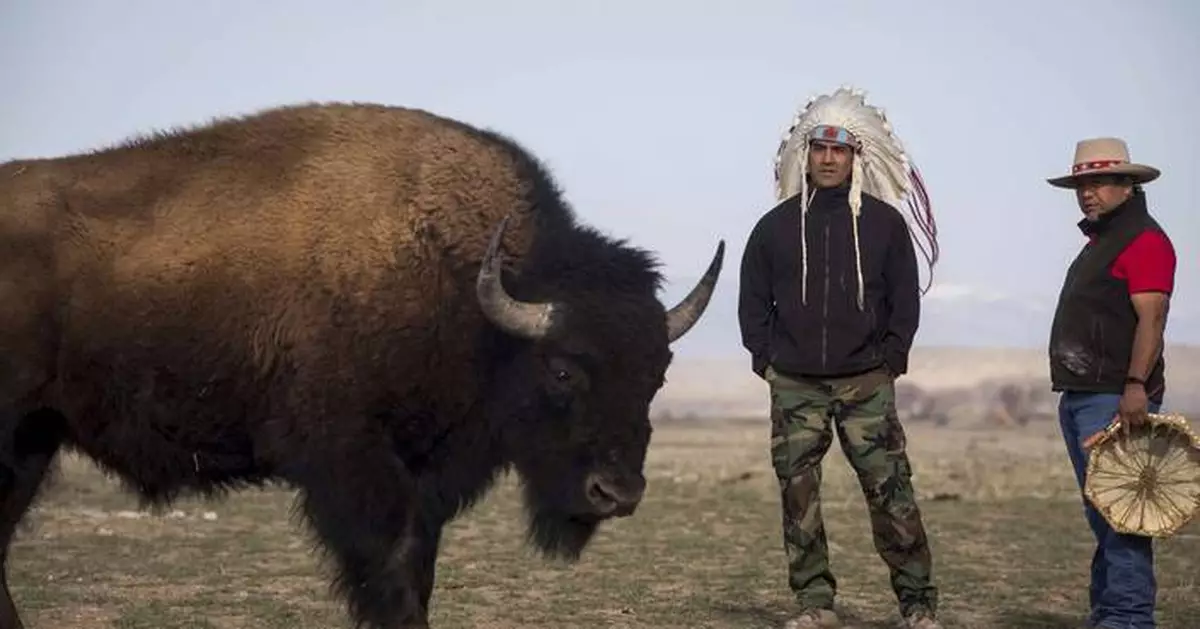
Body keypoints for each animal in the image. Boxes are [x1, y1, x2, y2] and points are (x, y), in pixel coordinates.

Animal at [0, 102, 724, 629]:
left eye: (657, 374)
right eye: (564, 369)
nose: (617, 493)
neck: (458, 283)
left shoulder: (427, 479)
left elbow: (418, 571)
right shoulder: (357, 468)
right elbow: (391, 573)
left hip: (35, 441)